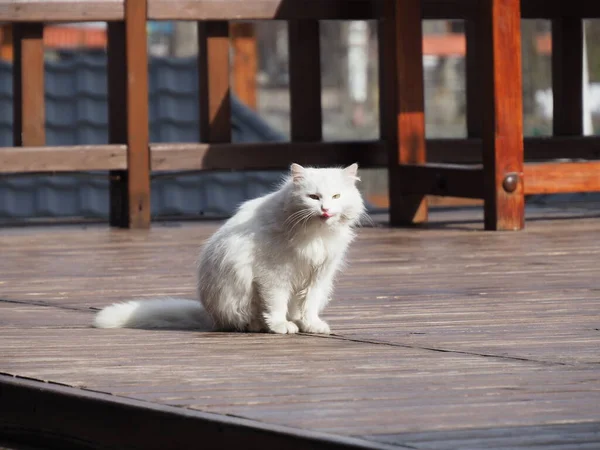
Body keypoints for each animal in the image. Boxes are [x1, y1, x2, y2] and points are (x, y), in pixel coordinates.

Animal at [94, 163, 366, 334]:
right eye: (313, 197)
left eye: (336, 197)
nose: (325, 210)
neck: (315, 235)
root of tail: (209, 314)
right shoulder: (274, 274)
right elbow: (276, 303)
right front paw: (280, 326)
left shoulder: (319, 275)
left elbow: (309, 303)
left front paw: (311, 325)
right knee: (244, 320)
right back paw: (262, 326)